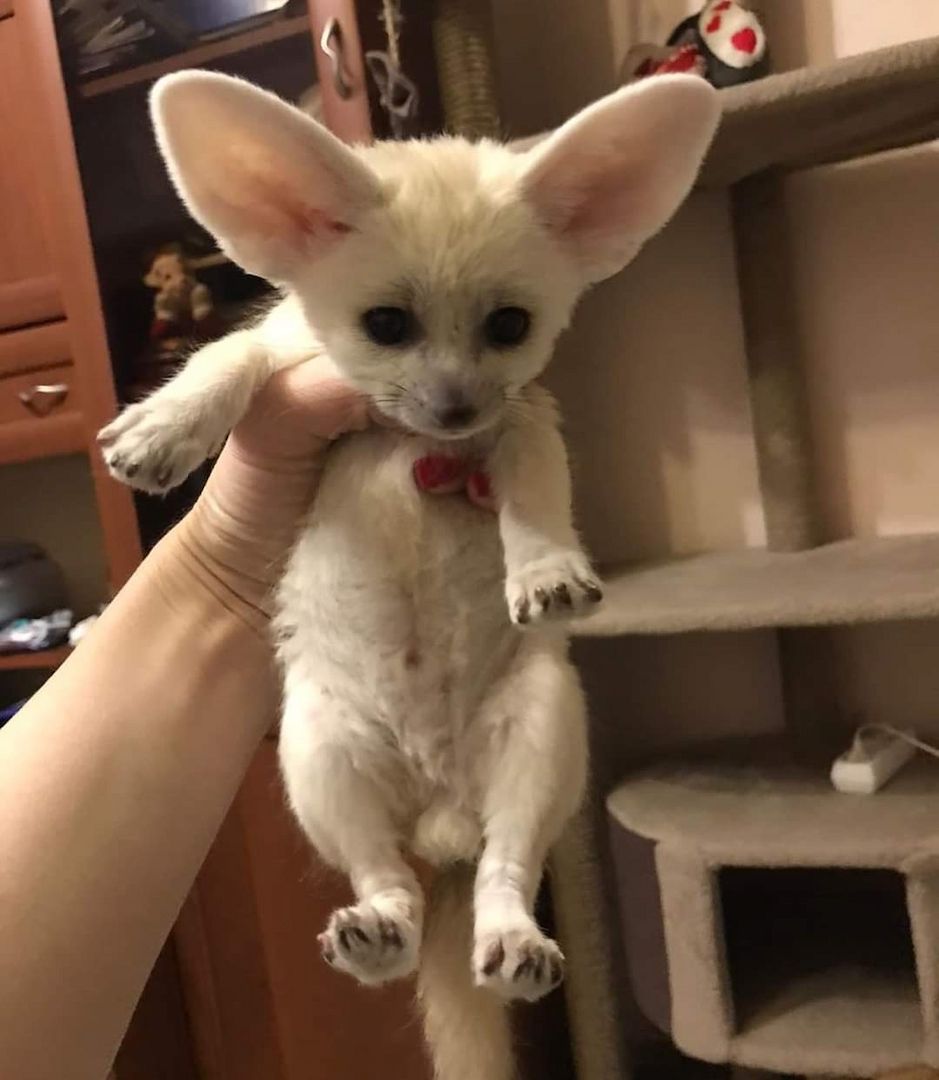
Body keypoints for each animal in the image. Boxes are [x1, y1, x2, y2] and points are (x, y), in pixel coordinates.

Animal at [98, 70, 719, 1079]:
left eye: (509, 326)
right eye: (384, 325)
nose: (455, 410)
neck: (406, 439)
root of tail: (440, 821)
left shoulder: (522, 422)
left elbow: (535, 491)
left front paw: (544, 569)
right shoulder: (290, 372)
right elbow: (232, 352)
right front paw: (168, 424)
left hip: (540, 733)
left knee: (504, 870)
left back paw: (510, 941)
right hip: (321, 752)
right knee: (389, 883)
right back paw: (379, 932)